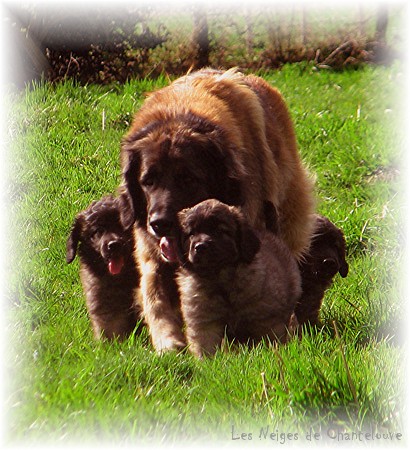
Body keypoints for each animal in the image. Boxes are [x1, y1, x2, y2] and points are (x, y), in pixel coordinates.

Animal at [120, 68, 316, 354]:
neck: (178, 114)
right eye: (148, 181)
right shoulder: (152, 257)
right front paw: (169, 344)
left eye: (188, 179)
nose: (159, 223)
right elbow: (156, 301)